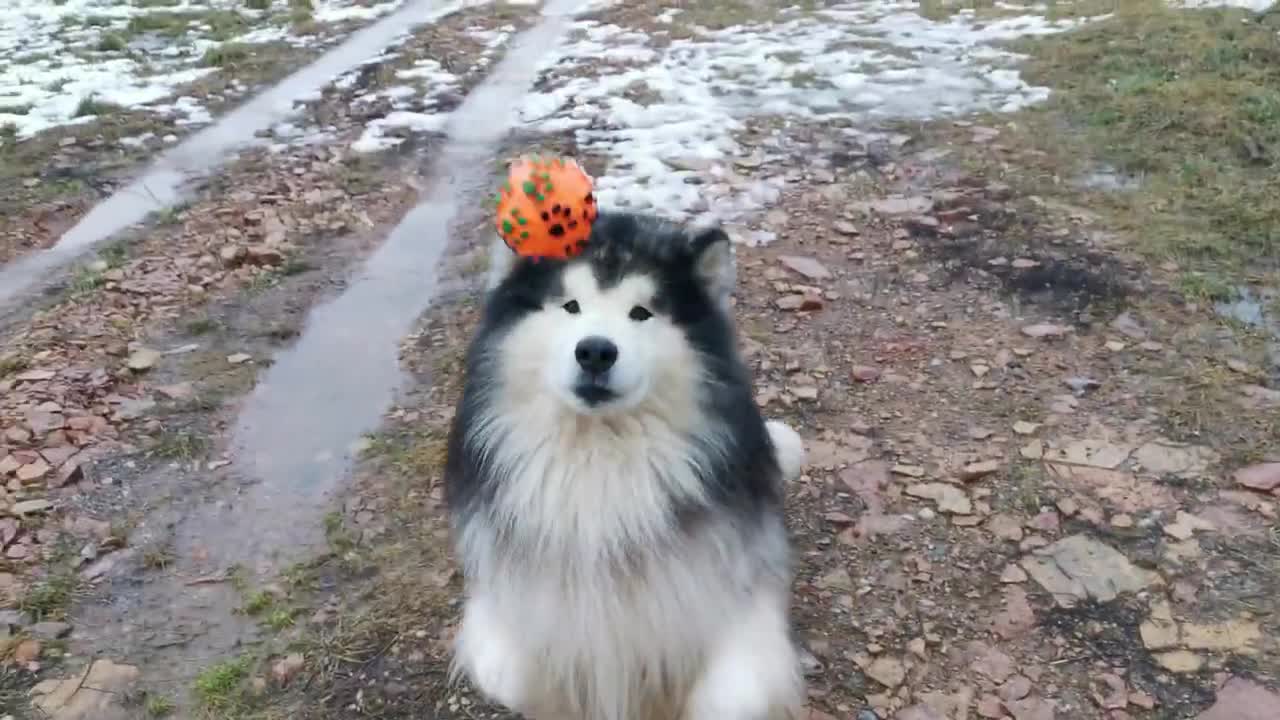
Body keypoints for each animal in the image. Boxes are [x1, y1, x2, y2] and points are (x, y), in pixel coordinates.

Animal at [445, 210, 803, 712]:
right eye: (570, 305)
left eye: (641, 313)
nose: (595, 351)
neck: (601, 457)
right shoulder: (512, 610)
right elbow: (513, 673)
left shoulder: (738, 602)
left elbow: (727, 697)